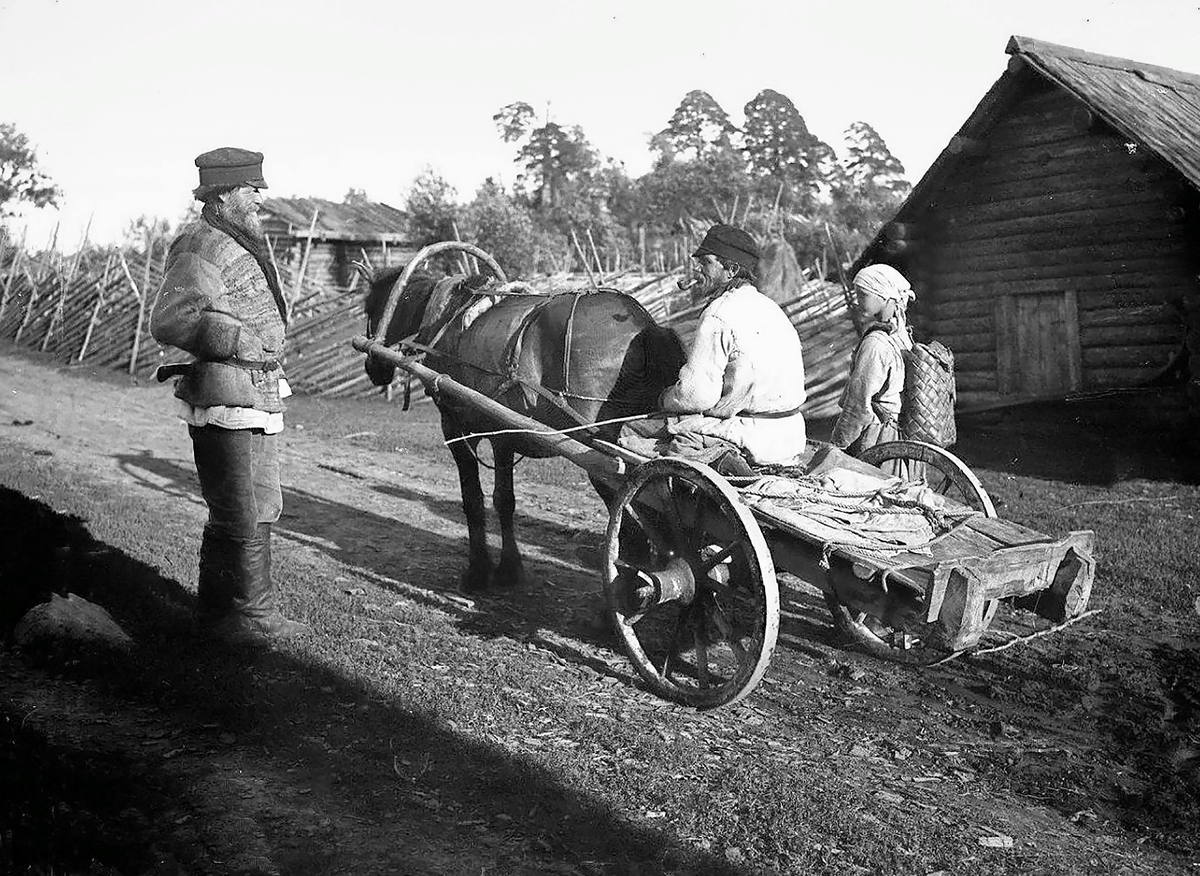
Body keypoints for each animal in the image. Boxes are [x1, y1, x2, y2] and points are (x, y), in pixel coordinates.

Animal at [360, 255, 686, 590]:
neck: (446, 319)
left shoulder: (455, 427)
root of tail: (645, 327)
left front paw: (478, 571)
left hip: (608, 461)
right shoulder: (503, 432)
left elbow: (473, 499)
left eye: (369, 307)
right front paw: (509, 567)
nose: (373, 368)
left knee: (635, 533)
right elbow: (504, 500)